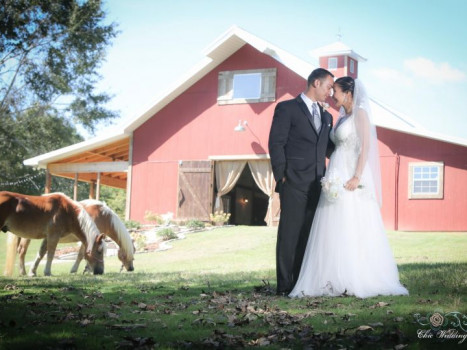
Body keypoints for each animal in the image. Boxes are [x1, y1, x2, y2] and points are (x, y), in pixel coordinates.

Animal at [7, 198, 135, 274]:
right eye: (128, 253)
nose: (131, 268)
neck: (105, 217)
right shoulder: (88, 239)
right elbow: (81, 255)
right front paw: (79, 270)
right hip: (27, 237)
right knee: (22, 252)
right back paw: (23, 272)